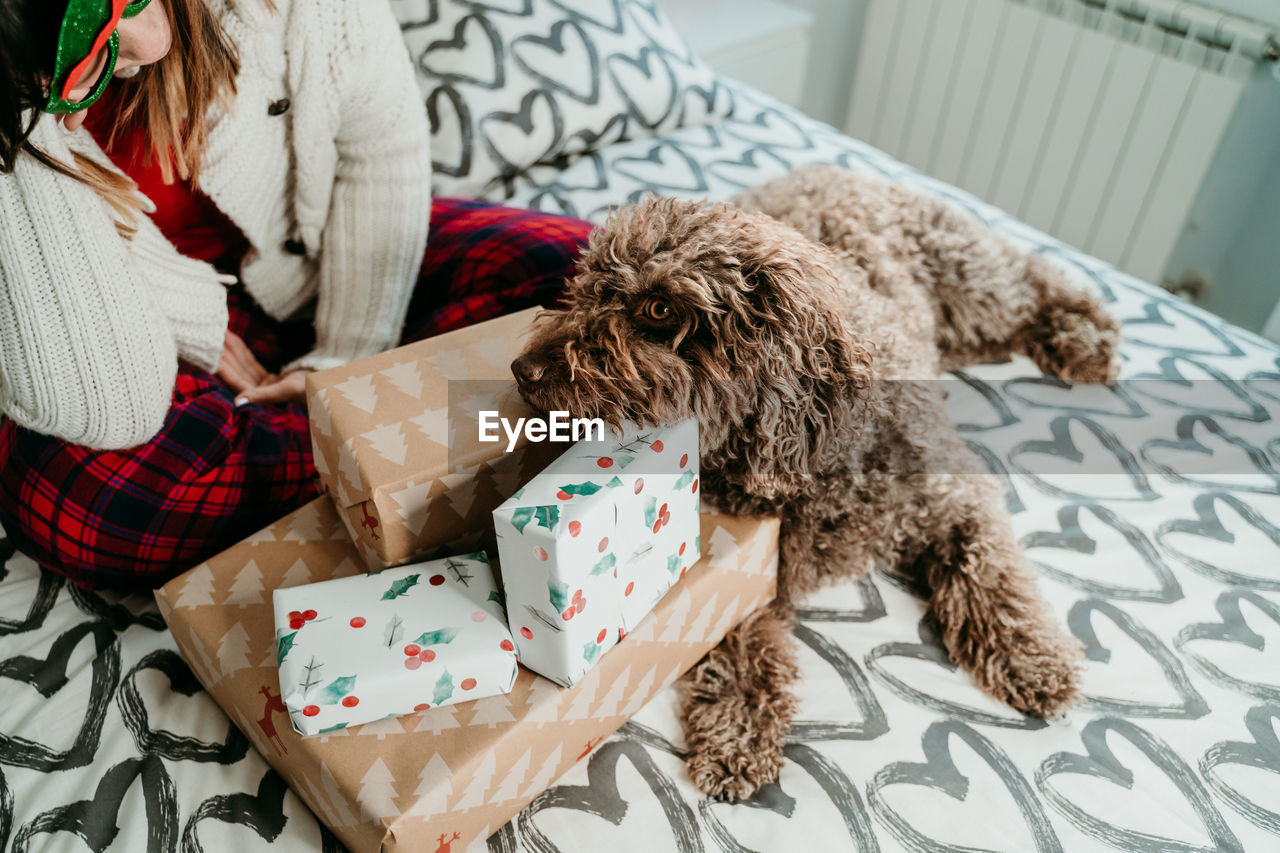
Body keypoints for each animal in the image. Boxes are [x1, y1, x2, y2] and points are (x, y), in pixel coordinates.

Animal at [509, 163, 1121, 799]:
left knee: (1036, 282)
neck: (818, 461)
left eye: (657, 309)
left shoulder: (954, 500)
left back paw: (1086, 336)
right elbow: (737, 636)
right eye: (583, 289)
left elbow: (994, 574)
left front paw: (1033, 656)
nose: (522, 370)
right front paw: (737, 726)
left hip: (969, 280)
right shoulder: (756, 563)